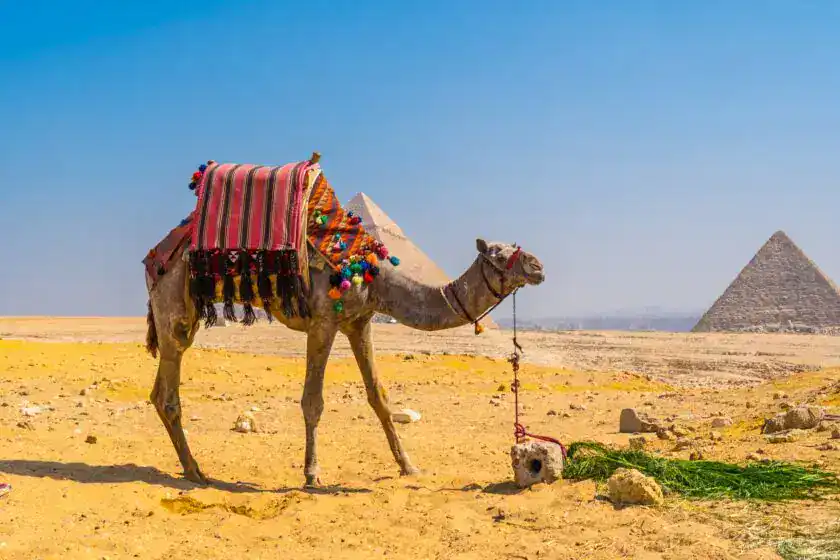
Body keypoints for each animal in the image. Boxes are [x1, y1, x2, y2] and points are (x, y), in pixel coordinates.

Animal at [145, 237, 545, 487]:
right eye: (498, 253)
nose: (538, 265)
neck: (379, 281)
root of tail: (155, 257)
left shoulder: (359, 322)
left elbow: (379, 398)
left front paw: (409, 466)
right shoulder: (323, 319)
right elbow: (313, 401)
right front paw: (312, 474)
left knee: (158, 391)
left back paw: (190, 468)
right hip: (175, 302)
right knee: (169, 389)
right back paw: (196, 471)